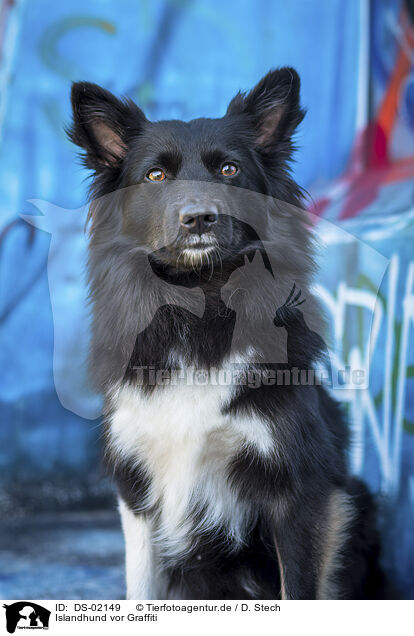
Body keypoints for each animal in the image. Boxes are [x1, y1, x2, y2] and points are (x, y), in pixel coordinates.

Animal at [70, 67, 384, 600]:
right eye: (156, 176)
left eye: (230, 170)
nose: (198, 218)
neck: (203, 302)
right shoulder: (138, 491)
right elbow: (141, 590)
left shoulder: (300, 492)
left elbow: (298, 589)